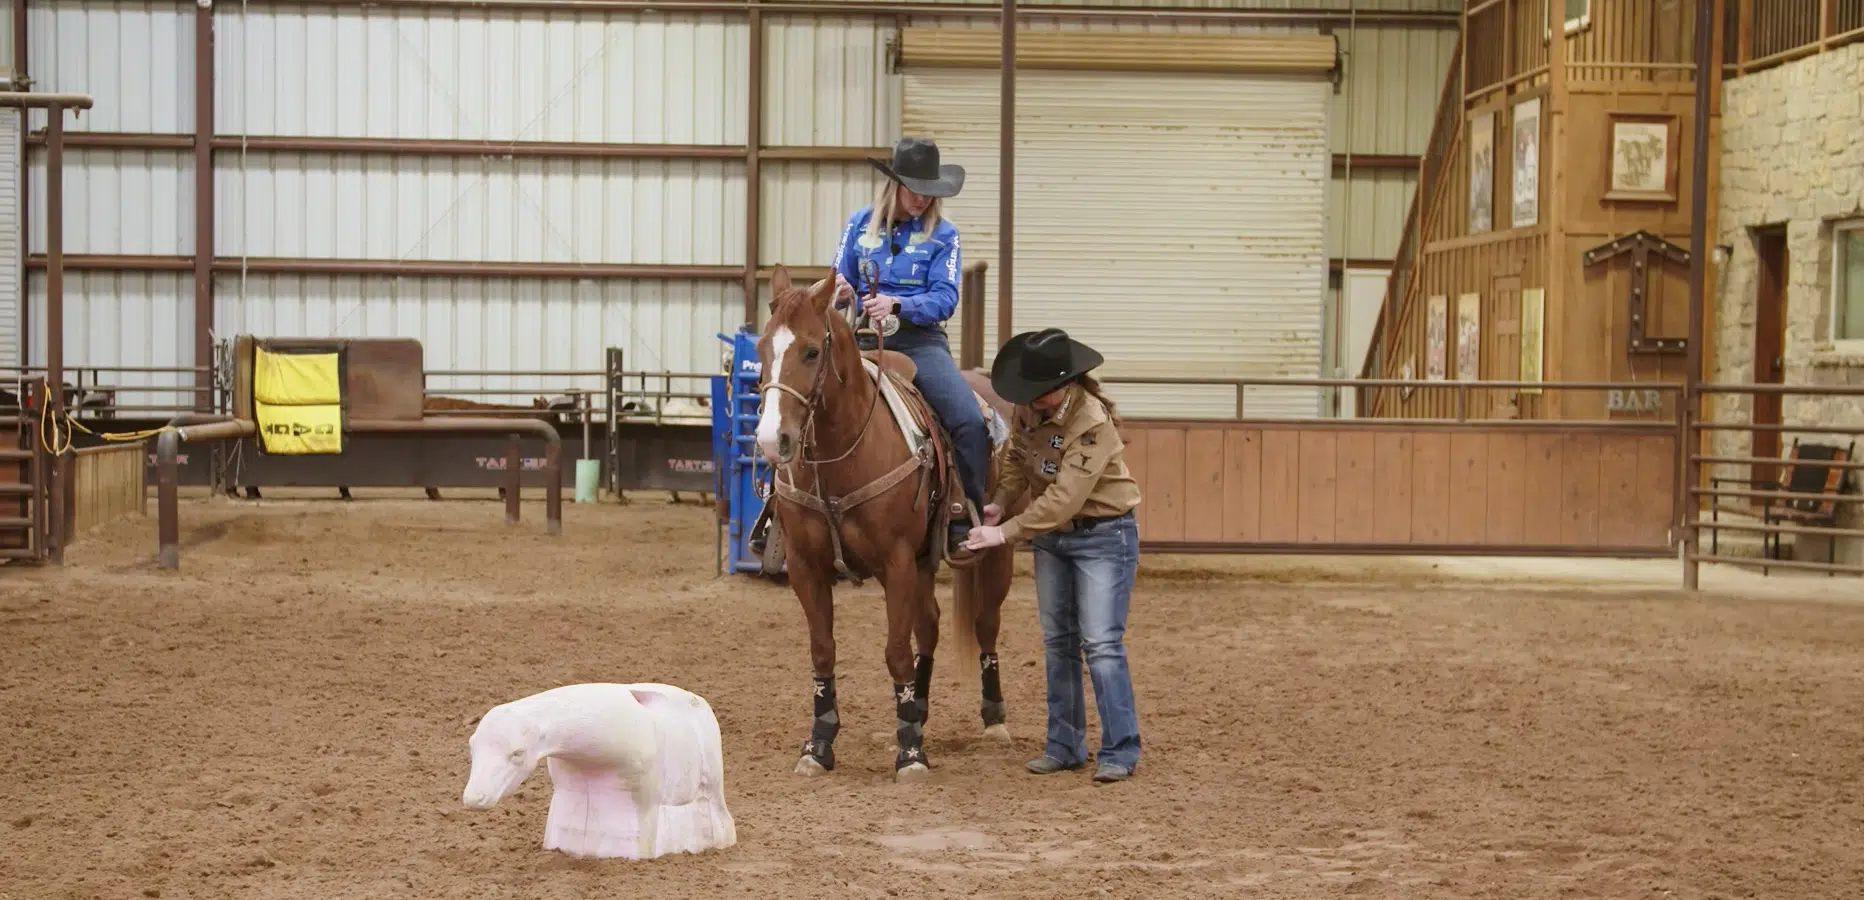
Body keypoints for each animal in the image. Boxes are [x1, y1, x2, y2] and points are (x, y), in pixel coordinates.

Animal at [753, 266, 1021, 782]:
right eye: (760, 349)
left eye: (811, 351)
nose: (773, 441)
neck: (842, 454)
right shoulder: (806, 566)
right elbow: (823, 649)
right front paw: (819, 745)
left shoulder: (894, 562)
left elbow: (896, 650)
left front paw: (911, 754)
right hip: (922, 561)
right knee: (930, 625)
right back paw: (919, 709)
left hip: (996, 548)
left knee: (985, 622)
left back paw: (994, 718)